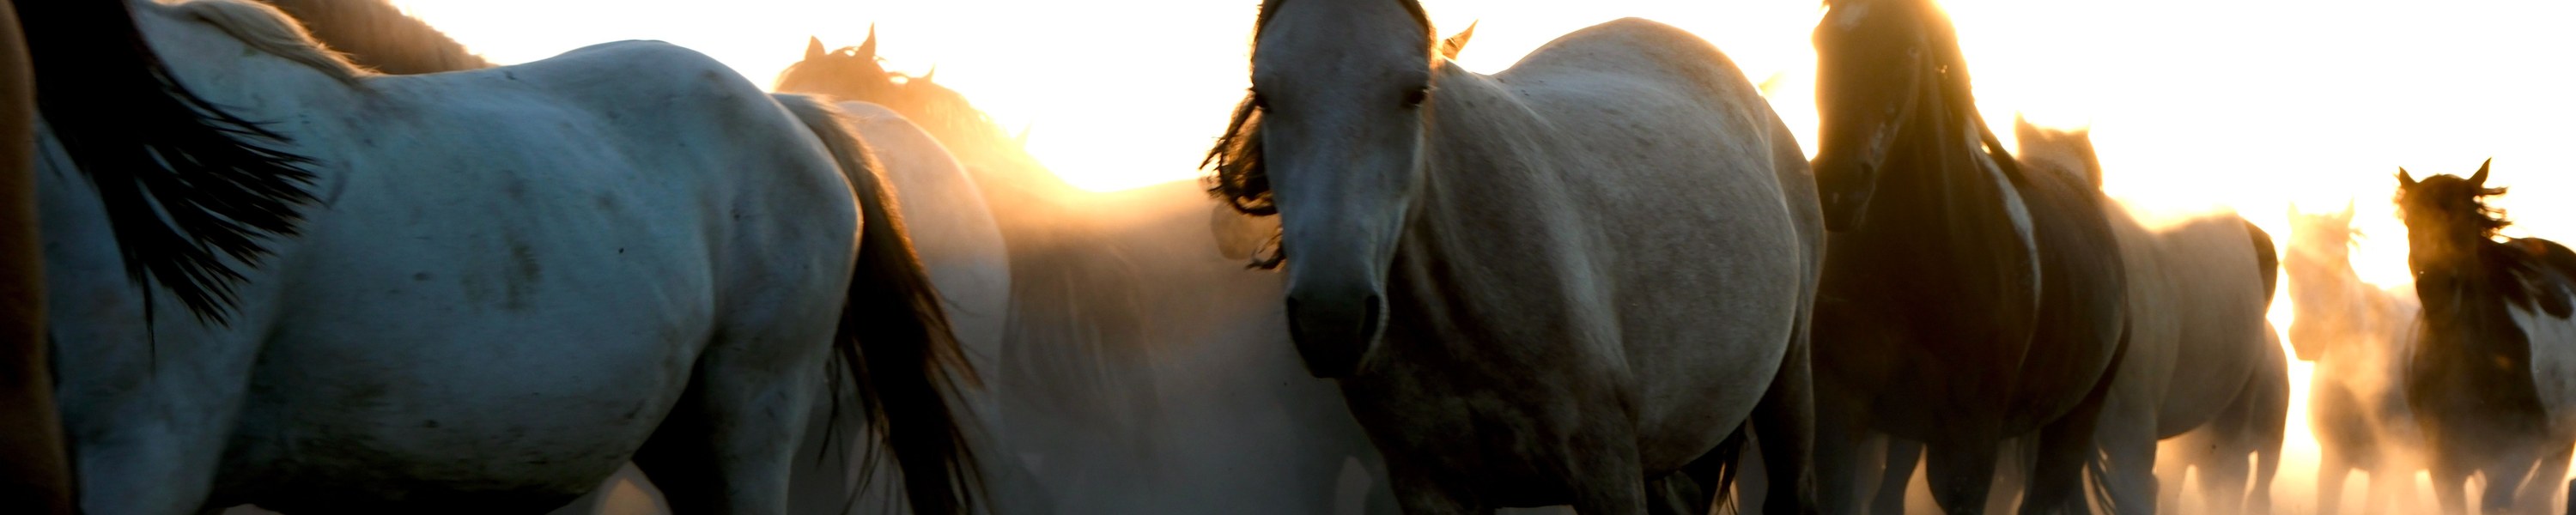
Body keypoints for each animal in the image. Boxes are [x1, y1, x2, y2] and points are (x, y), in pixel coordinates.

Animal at [1206, 1, 1825, 512]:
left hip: (1789, 381)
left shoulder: (1605, 468)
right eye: (1264, 96)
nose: (1330, 318)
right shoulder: (1431, 488)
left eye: (1415, 92)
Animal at [1808, 0, 2129, 512]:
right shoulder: (1840, 415)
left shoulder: (1969, 447)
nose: (1839, 187)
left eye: (1910, 48)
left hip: (2074, 423)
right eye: (1822, 41)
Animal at [2393, 161, 2576, 515]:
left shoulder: (2517, 453)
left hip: (2559, 445)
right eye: (2411, 220)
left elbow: (2500, 501)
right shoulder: (2444, 464)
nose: (2436, 288)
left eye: (2467, 218)